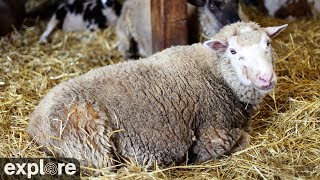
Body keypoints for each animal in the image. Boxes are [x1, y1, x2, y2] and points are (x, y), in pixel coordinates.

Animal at [27, 21, 288, 169]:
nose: (266, 79)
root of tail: (34, 123)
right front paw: (192, 159)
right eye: (233, 51)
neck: (216, 73)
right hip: (90, 145)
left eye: (267, 44)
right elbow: (244, 140)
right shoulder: (214, 135)